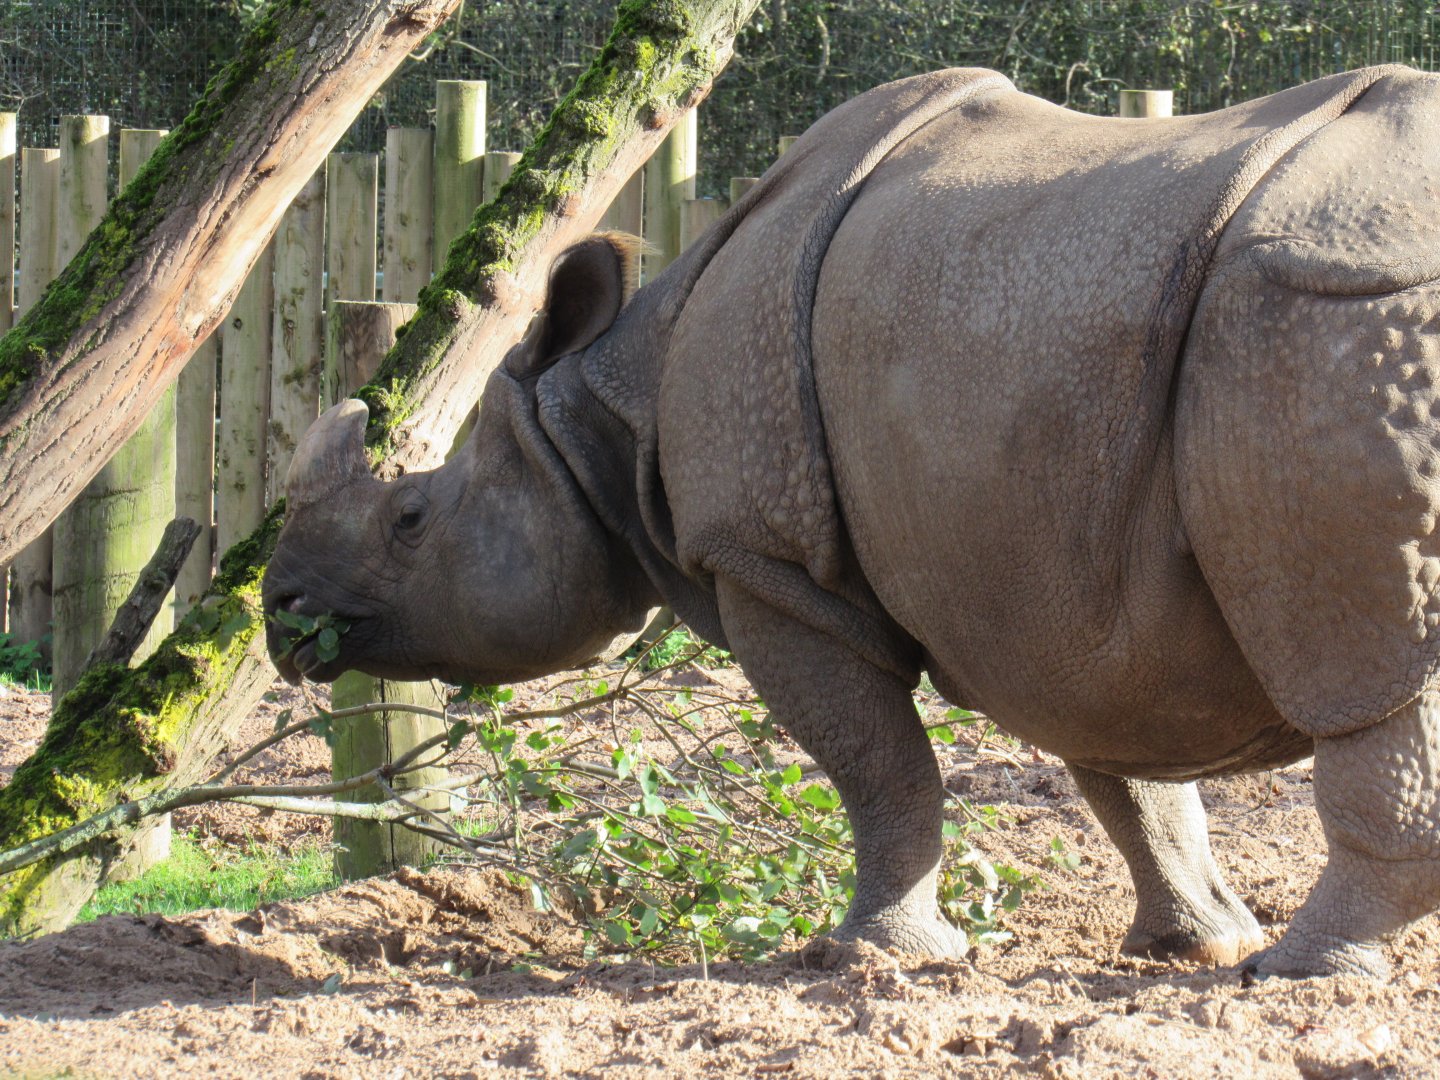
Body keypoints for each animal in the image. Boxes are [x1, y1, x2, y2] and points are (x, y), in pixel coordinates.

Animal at [264, 65, 1440, 979]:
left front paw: (874, 957)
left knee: (1371, 663)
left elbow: (880, 765)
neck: (605, 400)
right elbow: (1131, 772)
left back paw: (1303, 972)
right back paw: (1274, 961)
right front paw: (1191, 942)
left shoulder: (767, 562)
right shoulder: (1074, 571)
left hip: (1322, 324)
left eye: (411, 517)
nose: (284, 616)